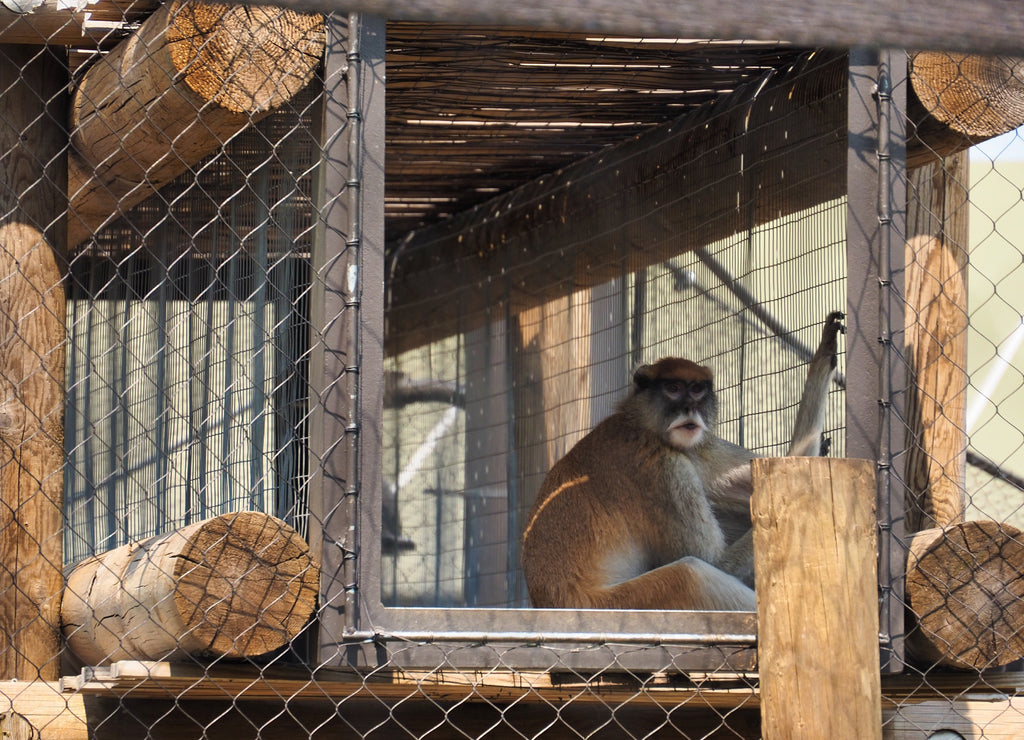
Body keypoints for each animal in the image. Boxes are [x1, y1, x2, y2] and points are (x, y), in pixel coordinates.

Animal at [520, 311, 845, 612]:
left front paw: (824, 355)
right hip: (620, 603)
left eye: (697, 390)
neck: (640, 425)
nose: (690, 408)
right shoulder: (661, 467)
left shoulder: (698, 452)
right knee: (691, 575)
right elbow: (714, 562)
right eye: (674, 389)